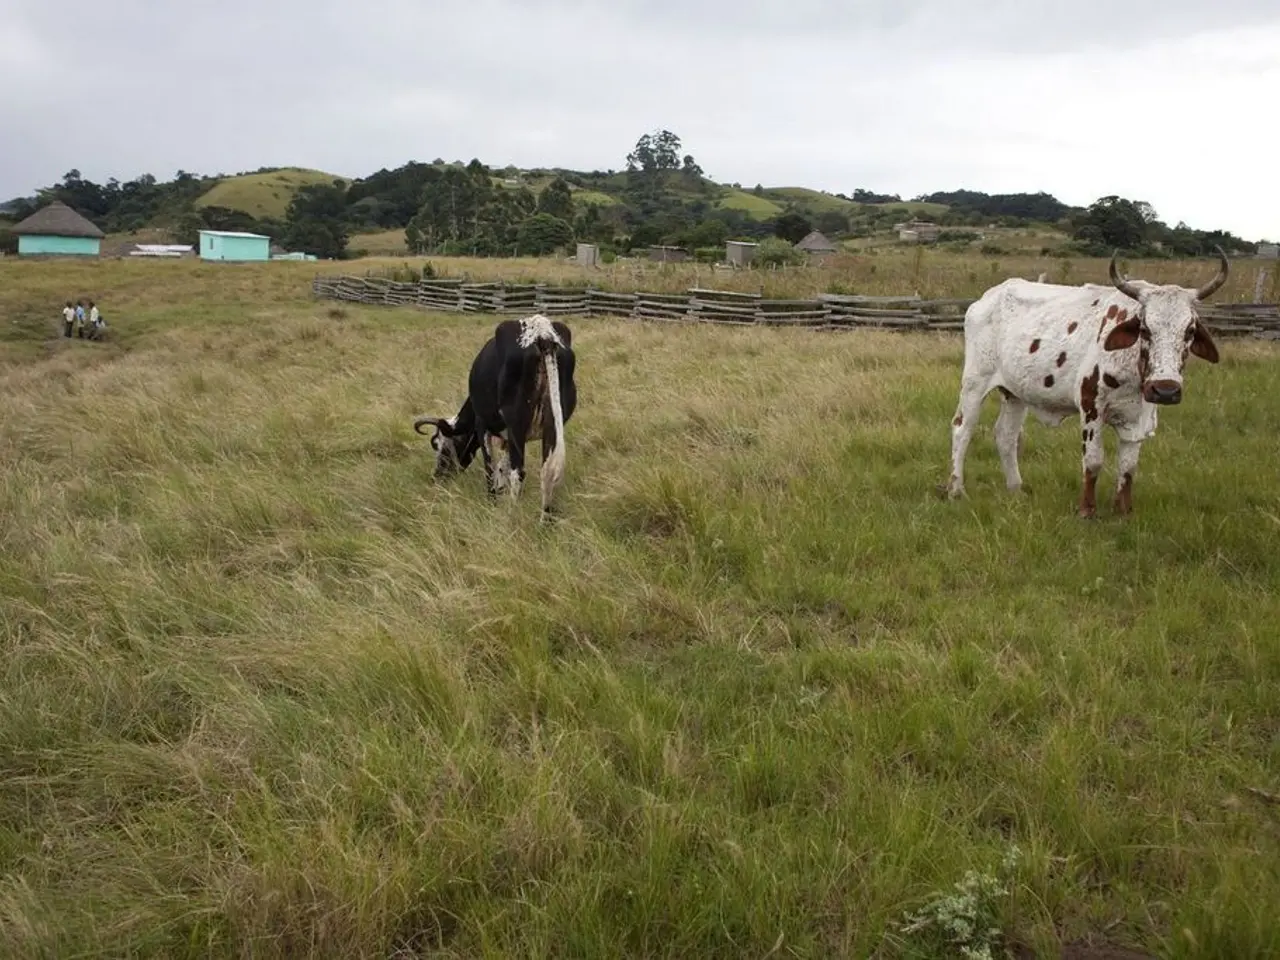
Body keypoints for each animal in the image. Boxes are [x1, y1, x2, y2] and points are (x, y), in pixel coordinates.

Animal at [413, 314, 578, 518]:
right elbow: (501, 468)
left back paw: (512, 514)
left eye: (439, 446)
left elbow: (490, 468)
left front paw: (492, 503)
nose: (437, 477)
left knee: (518, 472)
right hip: (552, 425)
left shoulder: (482, 425)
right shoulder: (509, 438)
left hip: (517, 424)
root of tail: (542, 332)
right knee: (548, 470)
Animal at [942, 247, 1229, 518]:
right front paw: (1087, 510)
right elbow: (1093, 461)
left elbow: (1128, 468)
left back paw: (1016, 489)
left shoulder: (1139, 417)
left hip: (1014, 393)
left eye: (1190, 331)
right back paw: (956, 489)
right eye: (1145, 329)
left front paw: (1123, 511)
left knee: (1006, 435)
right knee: (962, 428)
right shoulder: (1092, 407)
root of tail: (990, 296)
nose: (1165, 390)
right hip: (975, 382)